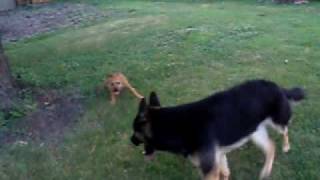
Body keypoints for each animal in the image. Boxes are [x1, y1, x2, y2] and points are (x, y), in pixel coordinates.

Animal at [131, 80, 304, 180]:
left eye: (134, 131)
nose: (131, 141)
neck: (175, 126)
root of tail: (276, 85)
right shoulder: (218, 157)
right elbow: (225, 172)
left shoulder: (209, 169)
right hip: (254, 132)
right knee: (271, 147)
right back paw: (265, 172)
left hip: (277, 122)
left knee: (285, 130)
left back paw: (286, 147)